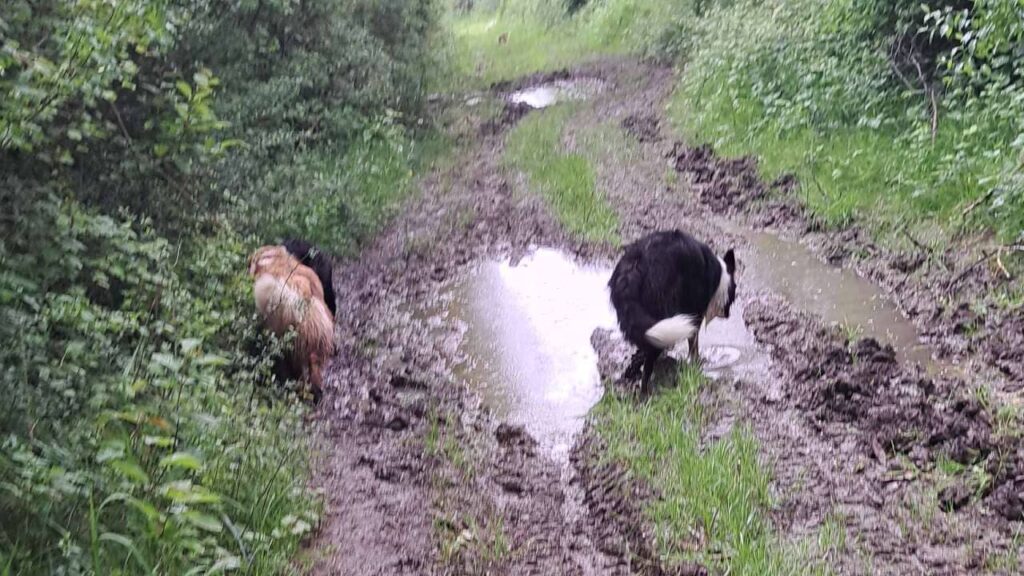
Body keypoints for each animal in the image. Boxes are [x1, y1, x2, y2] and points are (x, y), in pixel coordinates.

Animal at [606, 228, 737, 389]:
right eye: (734, 293)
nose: (728, 315)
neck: (721, 278)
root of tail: (636, 264)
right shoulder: (694, 316)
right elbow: (694, 347)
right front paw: (697, 365)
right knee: (650, 358)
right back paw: (645, 391)